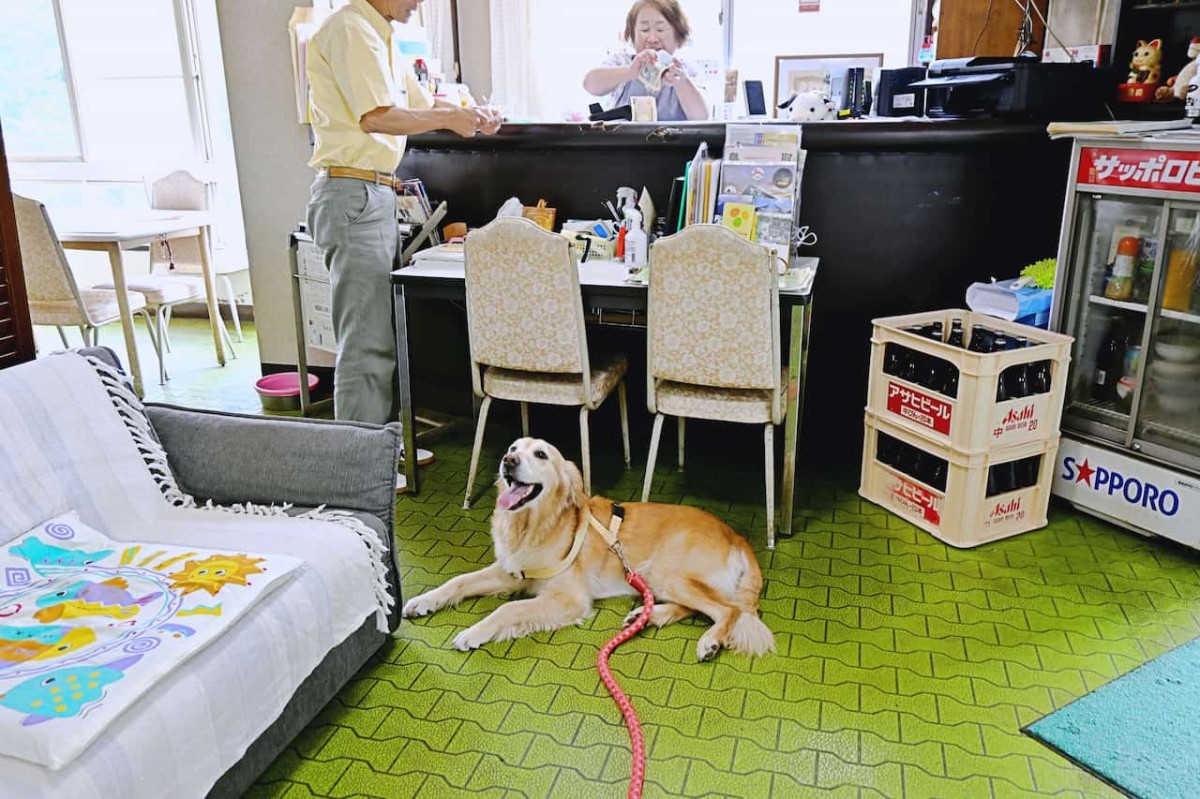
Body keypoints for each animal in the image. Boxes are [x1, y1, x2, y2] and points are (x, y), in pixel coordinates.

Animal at [403, 439, 777, 657]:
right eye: (513, 448)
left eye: (541, 454)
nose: (507, 461)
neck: (534, 526)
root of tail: (735, 535)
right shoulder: (512, 572)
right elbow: (459, 581)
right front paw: (424, 601)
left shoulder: (568, 598)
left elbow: (508, 610)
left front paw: (473, 632)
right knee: (700, 607)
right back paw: (646, 616)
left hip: (666, 570)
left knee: (729, 610)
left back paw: (710, 641)